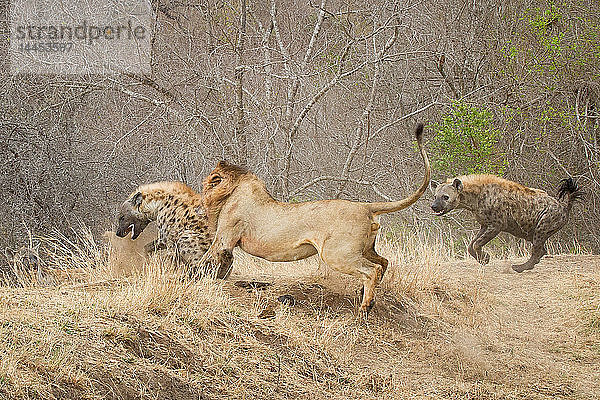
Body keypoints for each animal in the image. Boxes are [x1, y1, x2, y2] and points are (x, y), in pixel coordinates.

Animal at [202, 123, 432, 314]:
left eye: (208, 182)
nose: (200, 195)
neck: (233, 189)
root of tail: (365, 206)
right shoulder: (226, 243)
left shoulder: (225, 238)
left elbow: (207, 258)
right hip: (364, 249)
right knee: (383, 262)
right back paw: (365, 293)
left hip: (336, 254)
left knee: (372, 269)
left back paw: (366, 306)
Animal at [432, 173, 580, 270]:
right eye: (435, 196)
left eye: (445, 197)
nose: (434, 206)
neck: (475, 199)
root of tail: (563, 206)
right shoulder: (484, 224)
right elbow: (471, 244)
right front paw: (483, 259)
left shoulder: (497, 225)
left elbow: (477, 243)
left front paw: (485, 258)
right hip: (532, 232)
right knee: (542, 249)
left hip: (543, 224)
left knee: (537, 248)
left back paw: (521, 267)